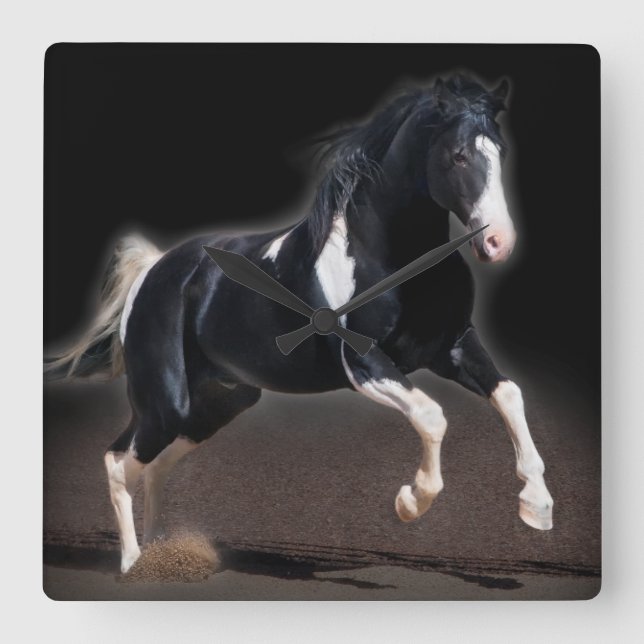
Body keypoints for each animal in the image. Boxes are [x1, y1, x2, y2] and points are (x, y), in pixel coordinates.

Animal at [45, 74, 554, 574]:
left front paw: (537, 507)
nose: (498, 243)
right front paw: (409, 502)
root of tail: (153, 270)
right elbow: (431, 415)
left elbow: (509, 394)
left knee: (154, 466)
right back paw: (134, 563)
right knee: (119, 462)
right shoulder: (364, 364)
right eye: (459, 154)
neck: (393, 260)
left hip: (216, 404)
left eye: (501, 152)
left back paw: (161, 554)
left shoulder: (452, 347)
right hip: (164, 404)